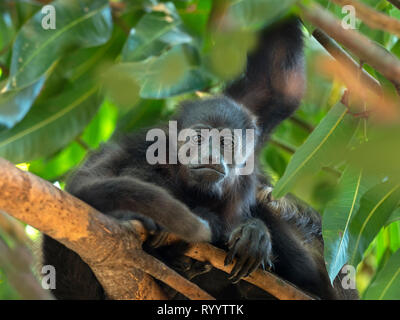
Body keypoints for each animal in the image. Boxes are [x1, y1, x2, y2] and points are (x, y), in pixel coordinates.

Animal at [42, 17, 354, 298]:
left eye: (226, 142)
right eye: (200, 138)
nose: (213, 155)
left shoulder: (252, 118)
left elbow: (275, 83)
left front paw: (252, 233)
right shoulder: (141, 143)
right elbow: (86, 187)